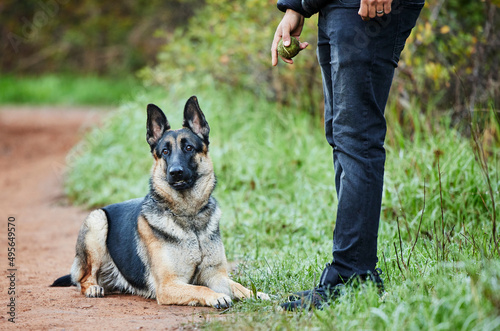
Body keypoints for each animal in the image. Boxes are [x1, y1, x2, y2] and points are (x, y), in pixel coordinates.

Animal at [51, 97, 268, 310]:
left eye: (189, 148)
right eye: (164, 151)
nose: (175, 172)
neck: (189, 217)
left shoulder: (216, 275)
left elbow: (238, 286)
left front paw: (255, 294)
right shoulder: (168, 285)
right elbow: (200, 288)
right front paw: (216, 297)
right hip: (97, 220)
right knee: (83, 279)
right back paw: (92, 288)